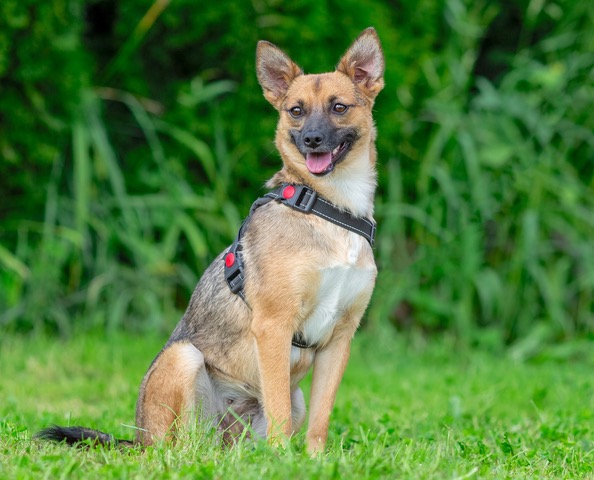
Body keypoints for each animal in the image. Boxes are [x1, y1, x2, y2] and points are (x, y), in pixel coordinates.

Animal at [37, 27, 384, 455]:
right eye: (295, 111)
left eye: (338, 107)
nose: (311, 140)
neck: (329, 207)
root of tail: (138, 438)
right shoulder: (274, 327)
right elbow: (280, 416)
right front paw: (283, 460)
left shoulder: (339, 339)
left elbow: (319, 422)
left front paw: (314, 461)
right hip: (184, 359)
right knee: (181, 448)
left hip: (279, 403)